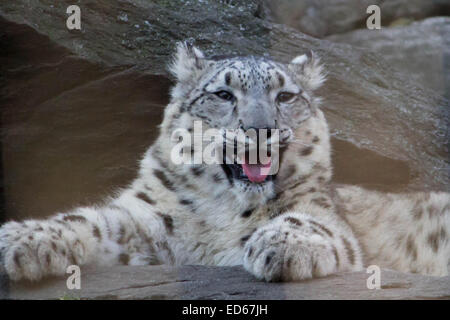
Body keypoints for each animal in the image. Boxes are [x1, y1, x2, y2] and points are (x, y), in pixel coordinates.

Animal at [0, 43, 448, 282]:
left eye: (286, 96)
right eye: (222, 95)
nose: (260, 128)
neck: (222, 213)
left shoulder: (326, 216)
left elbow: (311, 223)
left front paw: (281, 244)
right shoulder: (147, 223)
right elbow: (92, 220)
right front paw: (21, 238)